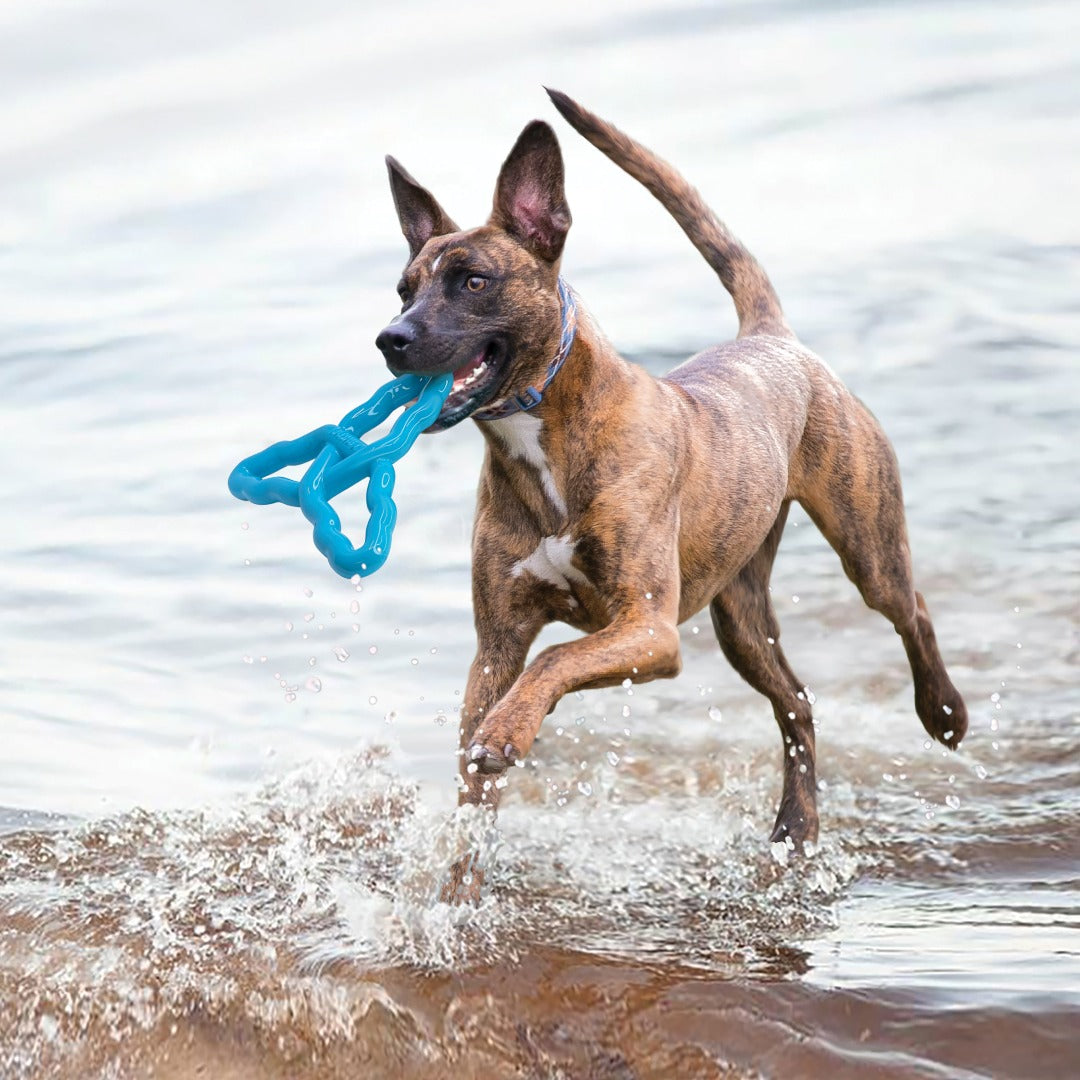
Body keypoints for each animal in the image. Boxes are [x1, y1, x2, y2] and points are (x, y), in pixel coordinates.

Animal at [373, 90, 972, 885]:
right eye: (403, 290)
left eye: (473, 281)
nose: (391, 339)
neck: (546, 439)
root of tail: (769, 337)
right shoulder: (497, 645)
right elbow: (480, 775)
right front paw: (461, 879)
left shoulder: (648, 629)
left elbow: (554, 660)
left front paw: (509, 732)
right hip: (740, 617)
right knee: (797, 704)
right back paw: (796, 828)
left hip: (864, 538)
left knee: (913, 610)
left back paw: (944, 712)